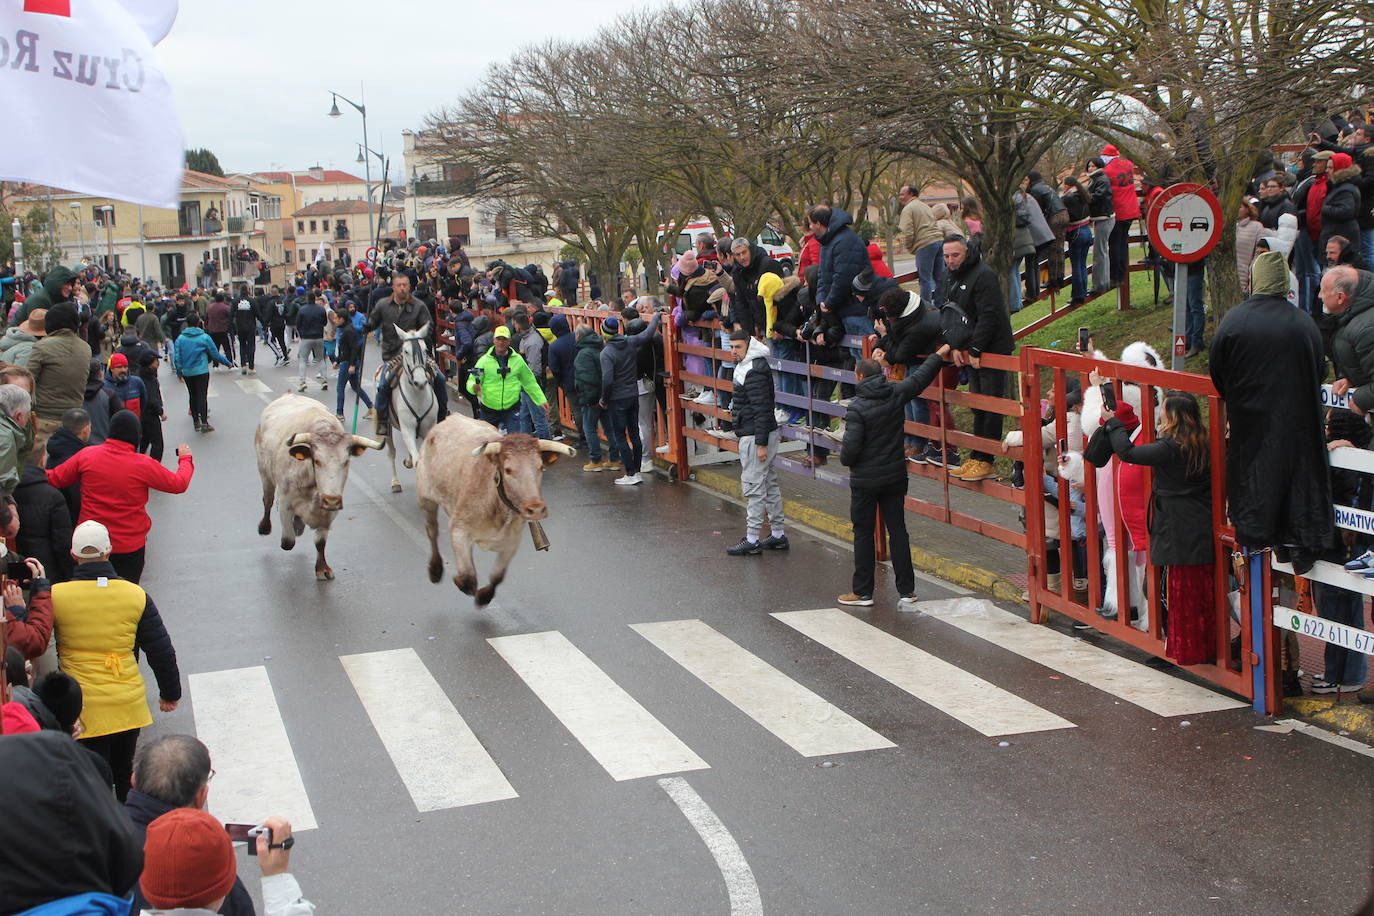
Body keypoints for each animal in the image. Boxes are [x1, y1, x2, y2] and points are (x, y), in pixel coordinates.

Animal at [255, 392, 384, 579]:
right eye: (317, 460)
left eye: (346, 461)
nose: (332, 500)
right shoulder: (286, 501)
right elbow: (288, 541)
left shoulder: (329, 510)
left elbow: (320, 542)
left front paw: (322, 568)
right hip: (265, 474)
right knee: (268, 500)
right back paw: (264, 527)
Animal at [384, 324, 436, 494]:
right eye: (406, 351)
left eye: (425, 349)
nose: (420, 382)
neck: (418, 396)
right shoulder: (407, 429)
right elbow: (417, 460)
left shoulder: (428, 429)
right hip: (387, 427)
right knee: (391, 453)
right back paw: (395, 482)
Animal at [414, 411, 571, 604]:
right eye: (508, 469)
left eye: (540, 467)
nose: (535, 509)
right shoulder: (459, 529)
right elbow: (468, 579)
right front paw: (460, 581)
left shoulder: (512, 542)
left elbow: (497, 577)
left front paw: (483, 597)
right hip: (425, 497)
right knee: (432, 532)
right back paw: (435, 570)